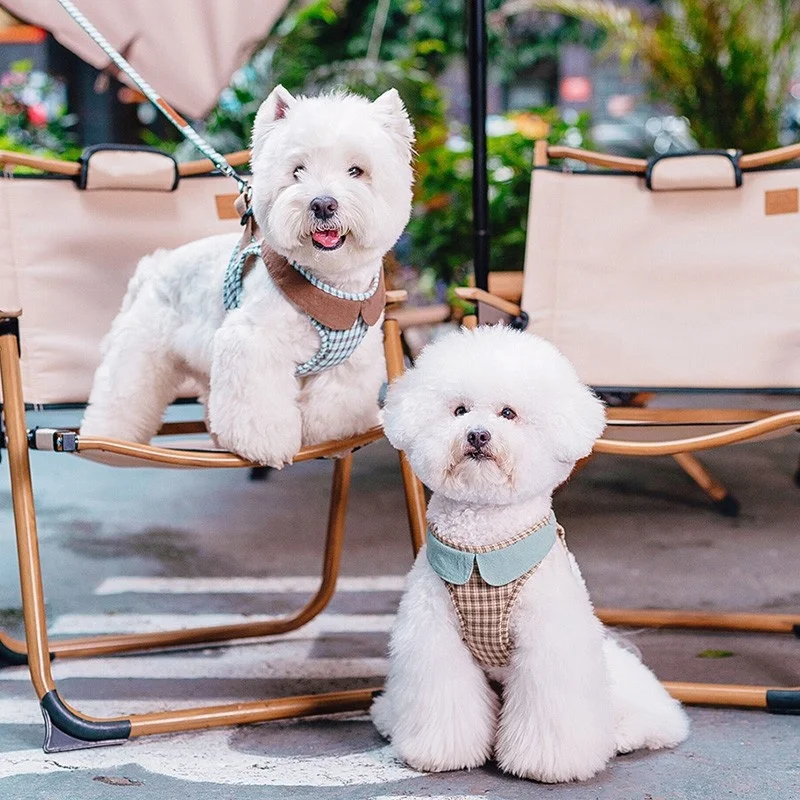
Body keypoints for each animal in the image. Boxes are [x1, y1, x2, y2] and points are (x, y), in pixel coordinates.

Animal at [80, 86, 416, 468]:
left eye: (356, 170)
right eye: (297, 170)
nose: (322, 204)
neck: (329, 284)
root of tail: (154, 267)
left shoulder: (350, 363)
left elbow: (333, 405)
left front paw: (331, 439)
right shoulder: (253, 342)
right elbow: (259, 405)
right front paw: (265, 445)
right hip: (140, 353)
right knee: (120, 394)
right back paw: (105, 435)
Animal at [372, 324, 692, 780]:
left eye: (508, 413)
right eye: (460, 410)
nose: (478, 434)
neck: (483, 546)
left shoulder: (550, 643)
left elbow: (552, 711)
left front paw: (548, 764)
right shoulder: (435, 638)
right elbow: (446, 702)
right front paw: (439, 753)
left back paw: (625, 735)